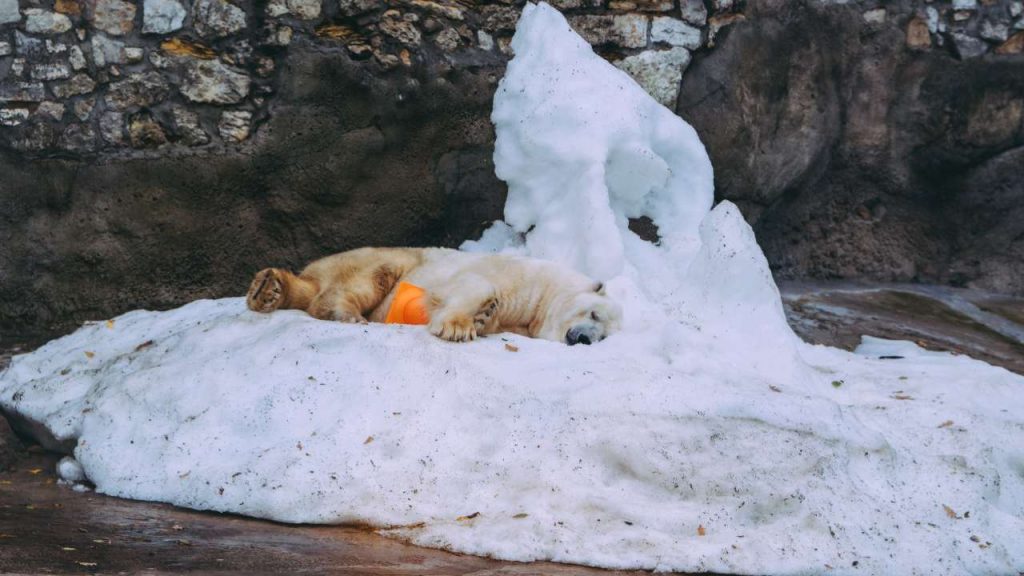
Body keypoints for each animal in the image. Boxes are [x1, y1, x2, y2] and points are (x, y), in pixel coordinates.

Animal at [243, 243, 618, 342]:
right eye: (594, 313)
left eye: (603, 338)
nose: (585, 339)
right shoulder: (519, 275)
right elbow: (473, 284)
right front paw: (459, 326)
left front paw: (483, 318)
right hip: (387, 258)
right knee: (366, 278)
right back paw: (346, 313)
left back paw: (269, 289)